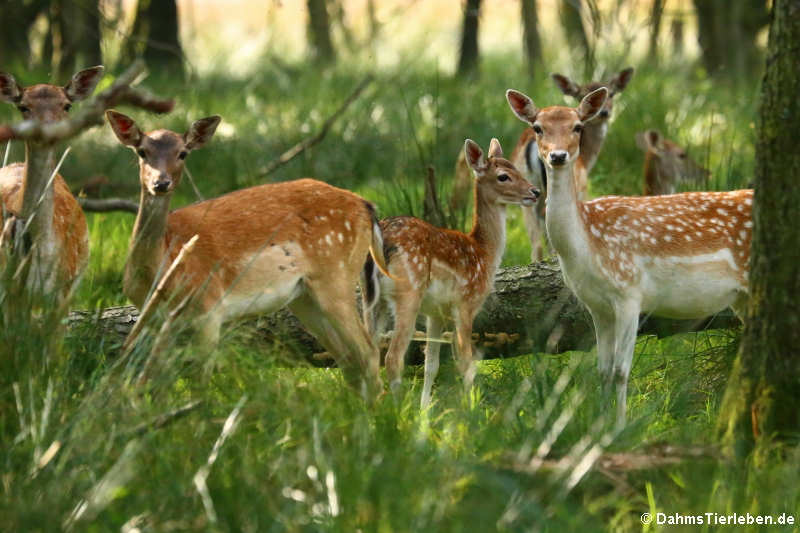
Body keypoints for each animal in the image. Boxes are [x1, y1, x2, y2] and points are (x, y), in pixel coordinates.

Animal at [106, 109, 394, 400]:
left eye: (183, 153)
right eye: (142, 151)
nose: (161, 183)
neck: (161, 268)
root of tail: (366, 206)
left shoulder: (208, 308)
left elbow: (199, 382)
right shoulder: (157, 319)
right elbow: (155, 384)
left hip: (335, 274)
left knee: (368, 353)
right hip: (305, 297)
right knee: (349, 359)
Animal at [364, 138, 540, 408]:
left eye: (517, 169)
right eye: (503, 176)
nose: (535, 192)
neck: (484, 253)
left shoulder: (435, 313)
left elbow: (432, 365)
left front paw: (425, 410)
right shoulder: (466, 303)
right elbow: (466, 361)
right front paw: (471, 408)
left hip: (371, 298)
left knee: (365, 354)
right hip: (408, 293)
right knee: (392, 359)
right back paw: (398, 410)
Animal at [506, 88, 752, 428]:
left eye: (578, 126)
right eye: (538, 127)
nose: (557, 156)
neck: (587, 245)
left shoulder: (629, 294)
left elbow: (622, 371)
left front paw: (620, 427)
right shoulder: (596, 307)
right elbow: (603, 370)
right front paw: (599, 423)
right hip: (741, 297)